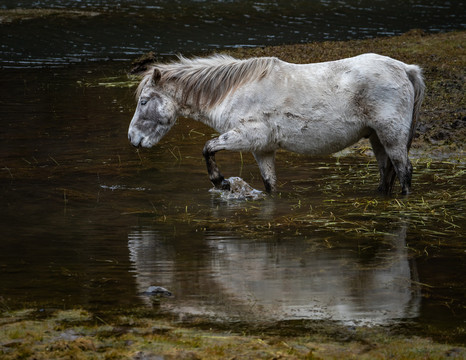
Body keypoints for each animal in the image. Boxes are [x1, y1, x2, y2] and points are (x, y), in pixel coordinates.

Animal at [128, 53, 426, 194]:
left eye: (143, 101)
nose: (133, 138)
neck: (236, 90)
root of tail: (405, 69)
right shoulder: (263, 150)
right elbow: (270, 185)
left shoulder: (246, 136)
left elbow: (208, 148)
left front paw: (221, 182)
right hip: (377, 139)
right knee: (386, 172)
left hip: (391, 137)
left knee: (404, 172)